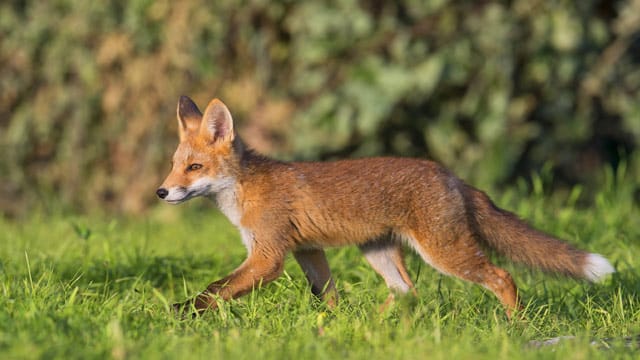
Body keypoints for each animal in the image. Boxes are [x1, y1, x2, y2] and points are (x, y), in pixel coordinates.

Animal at [155, 95, 616, 318]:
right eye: (174, 165)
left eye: (194, 168)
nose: (161, 192)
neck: (246, 191)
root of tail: (451, 175)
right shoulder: (308, 251)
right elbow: (327, 297)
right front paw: (332, 327)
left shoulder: (268, 256)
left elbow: (214, 290)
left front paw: (181, 314)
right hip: (377, 250)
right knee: (406, 292)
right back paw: (372, 322)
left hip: (444, 253)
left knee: (501, 277)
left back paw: (516, 326)